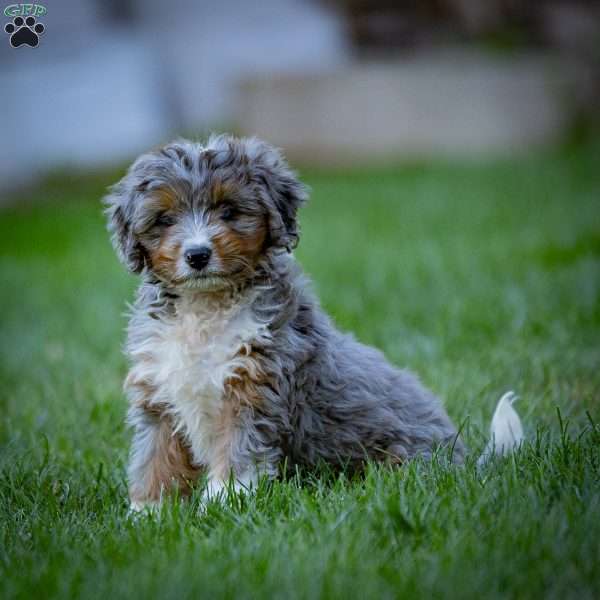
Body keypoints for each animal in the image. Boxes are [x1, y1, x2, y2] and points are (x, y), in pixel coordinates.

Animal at [104, 134, 520, 508]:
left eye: (229, 211)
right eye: (165, 219)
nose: (197, 254)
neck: (205, 308)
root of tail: (462, 459)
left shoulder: (253, 389)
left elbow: (238, 453)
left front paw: (222, 503)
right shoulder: (158, 394)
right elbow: (155, 460)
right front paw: (149, 515)